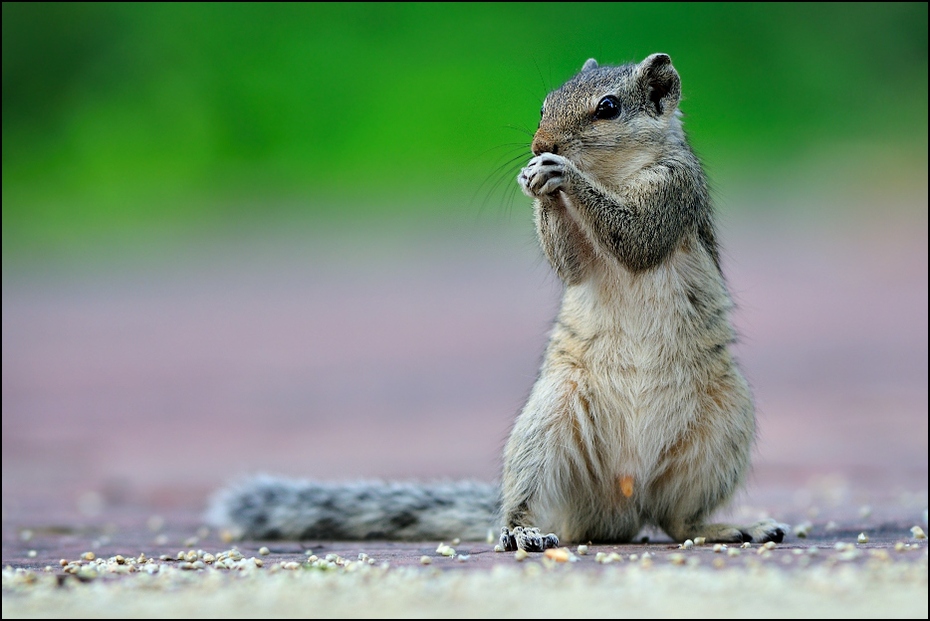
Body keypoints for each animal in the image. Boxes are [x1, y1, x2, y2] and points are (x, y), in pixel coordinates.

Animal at [207, 54, 788, 548]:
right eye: (544, 103)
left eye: (608, 107)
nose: (538, 146)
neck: (614, 174)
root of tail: (626, 501)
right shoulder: (583, 263)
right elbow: (574, 266)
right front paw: (539, 185)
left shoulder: (675, 189)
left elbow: (638, 238)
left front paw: (562, 176)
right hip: (545, 424)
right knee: (541, 505)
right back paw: (522, 531)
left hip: (723, 433)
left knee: (677, 519)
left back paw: (729, 527)